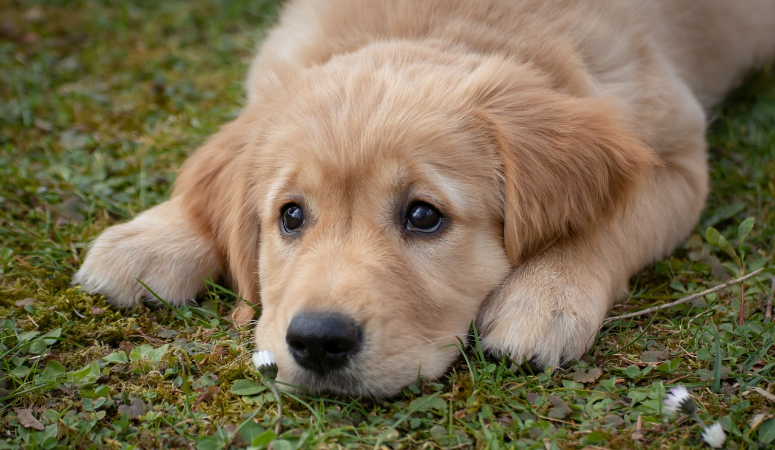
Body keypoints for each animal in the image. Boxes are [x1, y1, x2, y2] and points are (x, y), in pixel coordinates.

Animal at [73, 0, 775, 396]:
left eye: (423, 216)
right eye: (290, 215)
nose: (318, 342)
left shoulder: (676, 154)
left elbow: (610, 221)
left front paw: (546, 294)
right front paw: (153, 237)